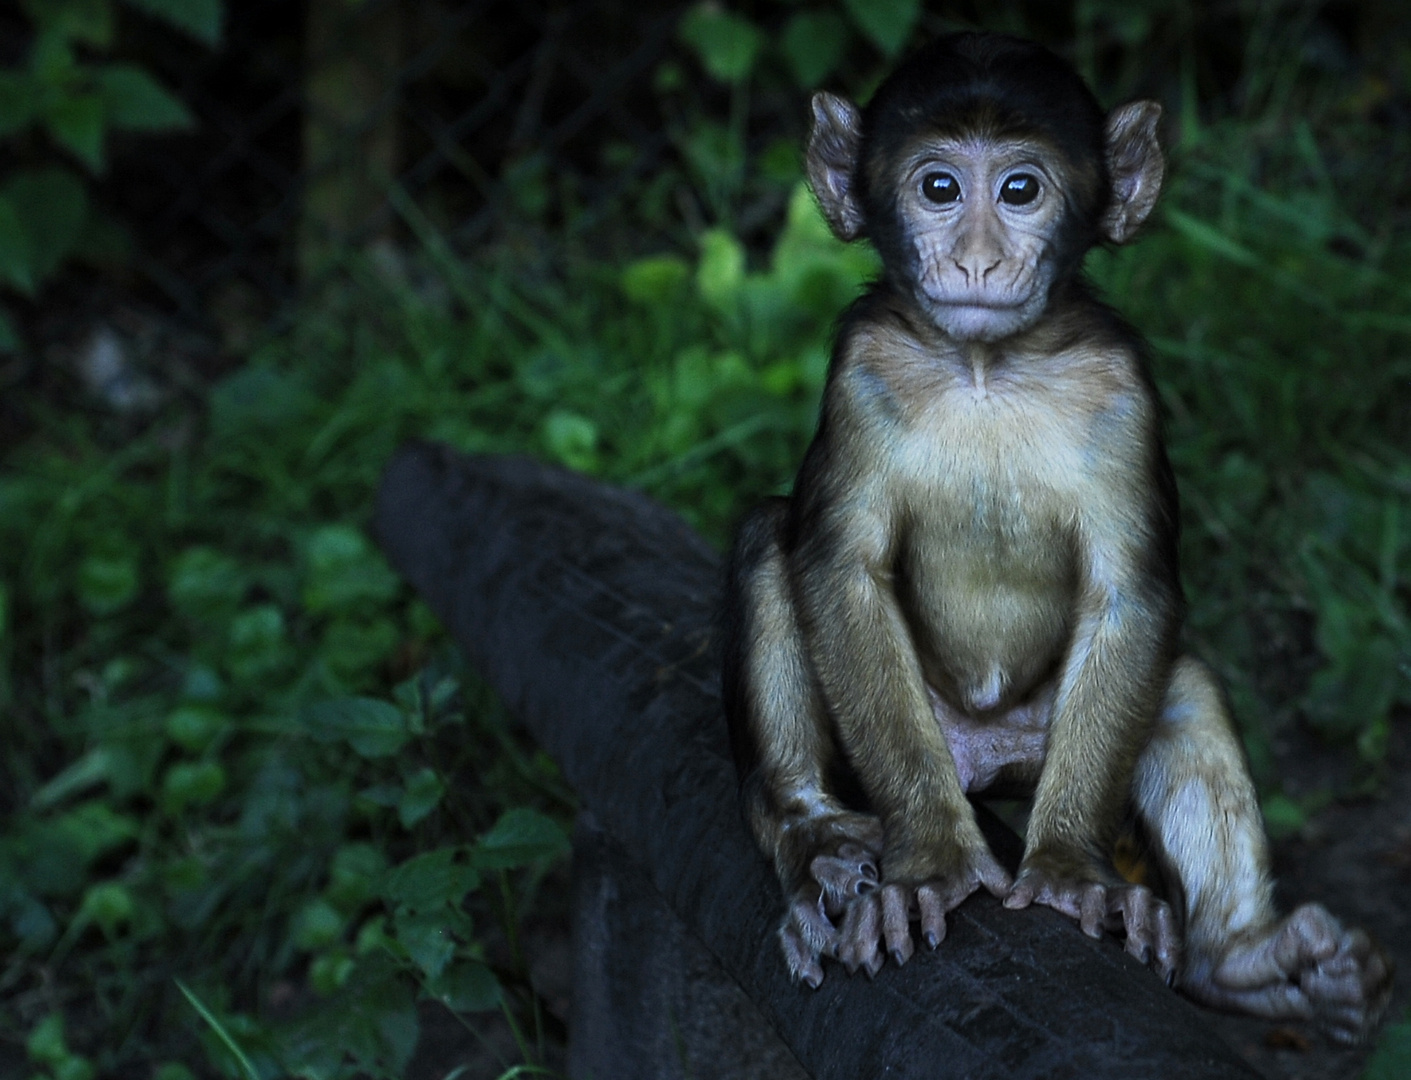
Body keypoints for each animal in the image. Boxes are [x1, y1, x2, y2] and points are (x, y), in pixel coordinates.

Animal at [722, 31, 1394, 1039]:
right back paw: (813, 843)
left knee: (1181, 686)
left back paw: (1239, 958)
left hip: (1046, 744)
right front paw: (931, 860)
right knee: (773, 536)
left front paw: (1075, 872)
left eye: (1019, 190)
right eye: (938, 187)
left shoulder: (1121, 390)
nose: (976, 261)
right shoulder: (862, 368)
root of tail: (983, 758)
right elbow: (840, 571)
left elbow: (1130, 593)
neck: (985, 368)